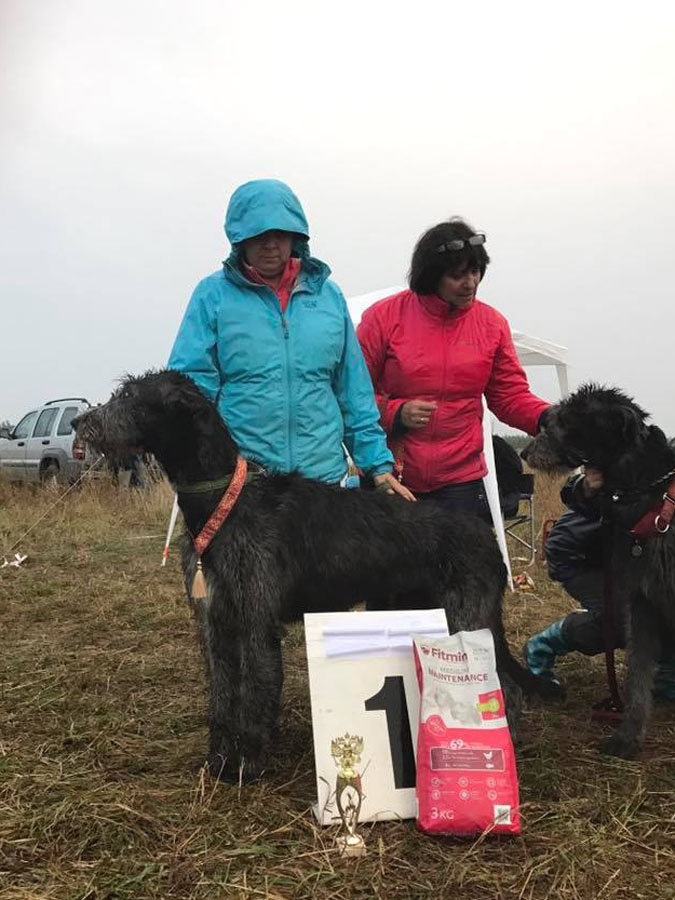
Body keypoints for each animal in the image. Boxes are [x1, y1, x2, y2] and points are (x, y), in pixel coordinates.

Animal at [76, 370, 556, 780]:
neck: (222, 501)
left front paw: (247, 763)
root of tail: (487, 535)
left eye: (129, 396)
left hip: (466, 617)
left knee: (504, 689)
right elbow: (222, 696)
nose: (81, 422)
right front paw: (218, 760)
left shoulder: (254, 621)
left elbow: (254, 692)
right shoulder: (215, 621)